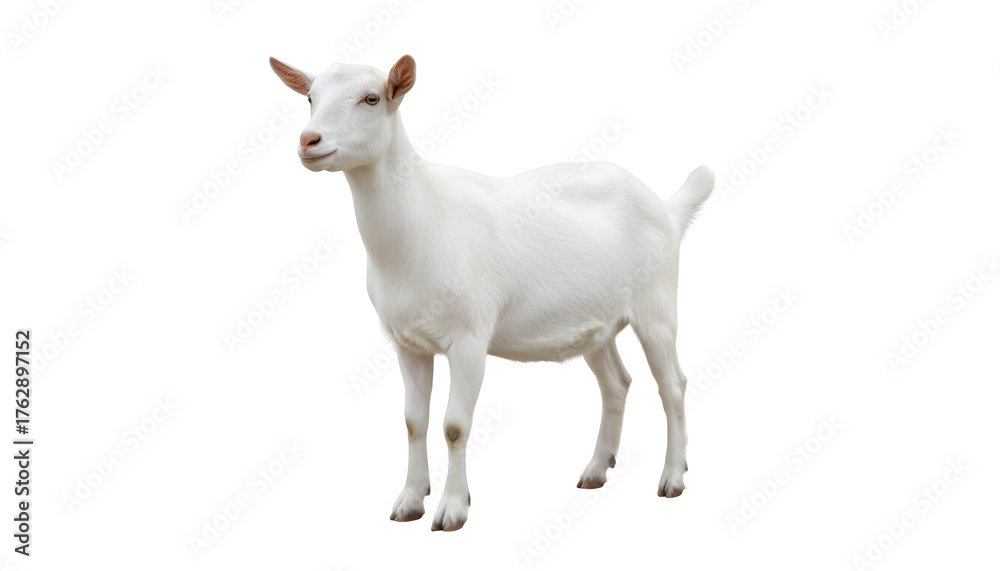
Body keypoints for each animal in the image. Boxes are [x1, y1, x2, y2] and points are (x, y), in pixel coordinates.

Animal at [270, 54, 714, 531]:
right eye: (310, 97)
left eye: (371, 98)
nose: (309, 140)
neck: (420, 220)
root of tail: (667, 207)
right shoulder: (407, 342)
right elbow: (413, 422)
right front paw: (410, 501)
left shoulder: (469, 337)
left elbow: (454, 426)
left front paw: (452, 508)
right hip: (597, 324)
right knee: (617, 383)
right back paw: (596, 469)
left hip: (657, 306)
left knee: (672, 384)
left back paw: (673, 478)